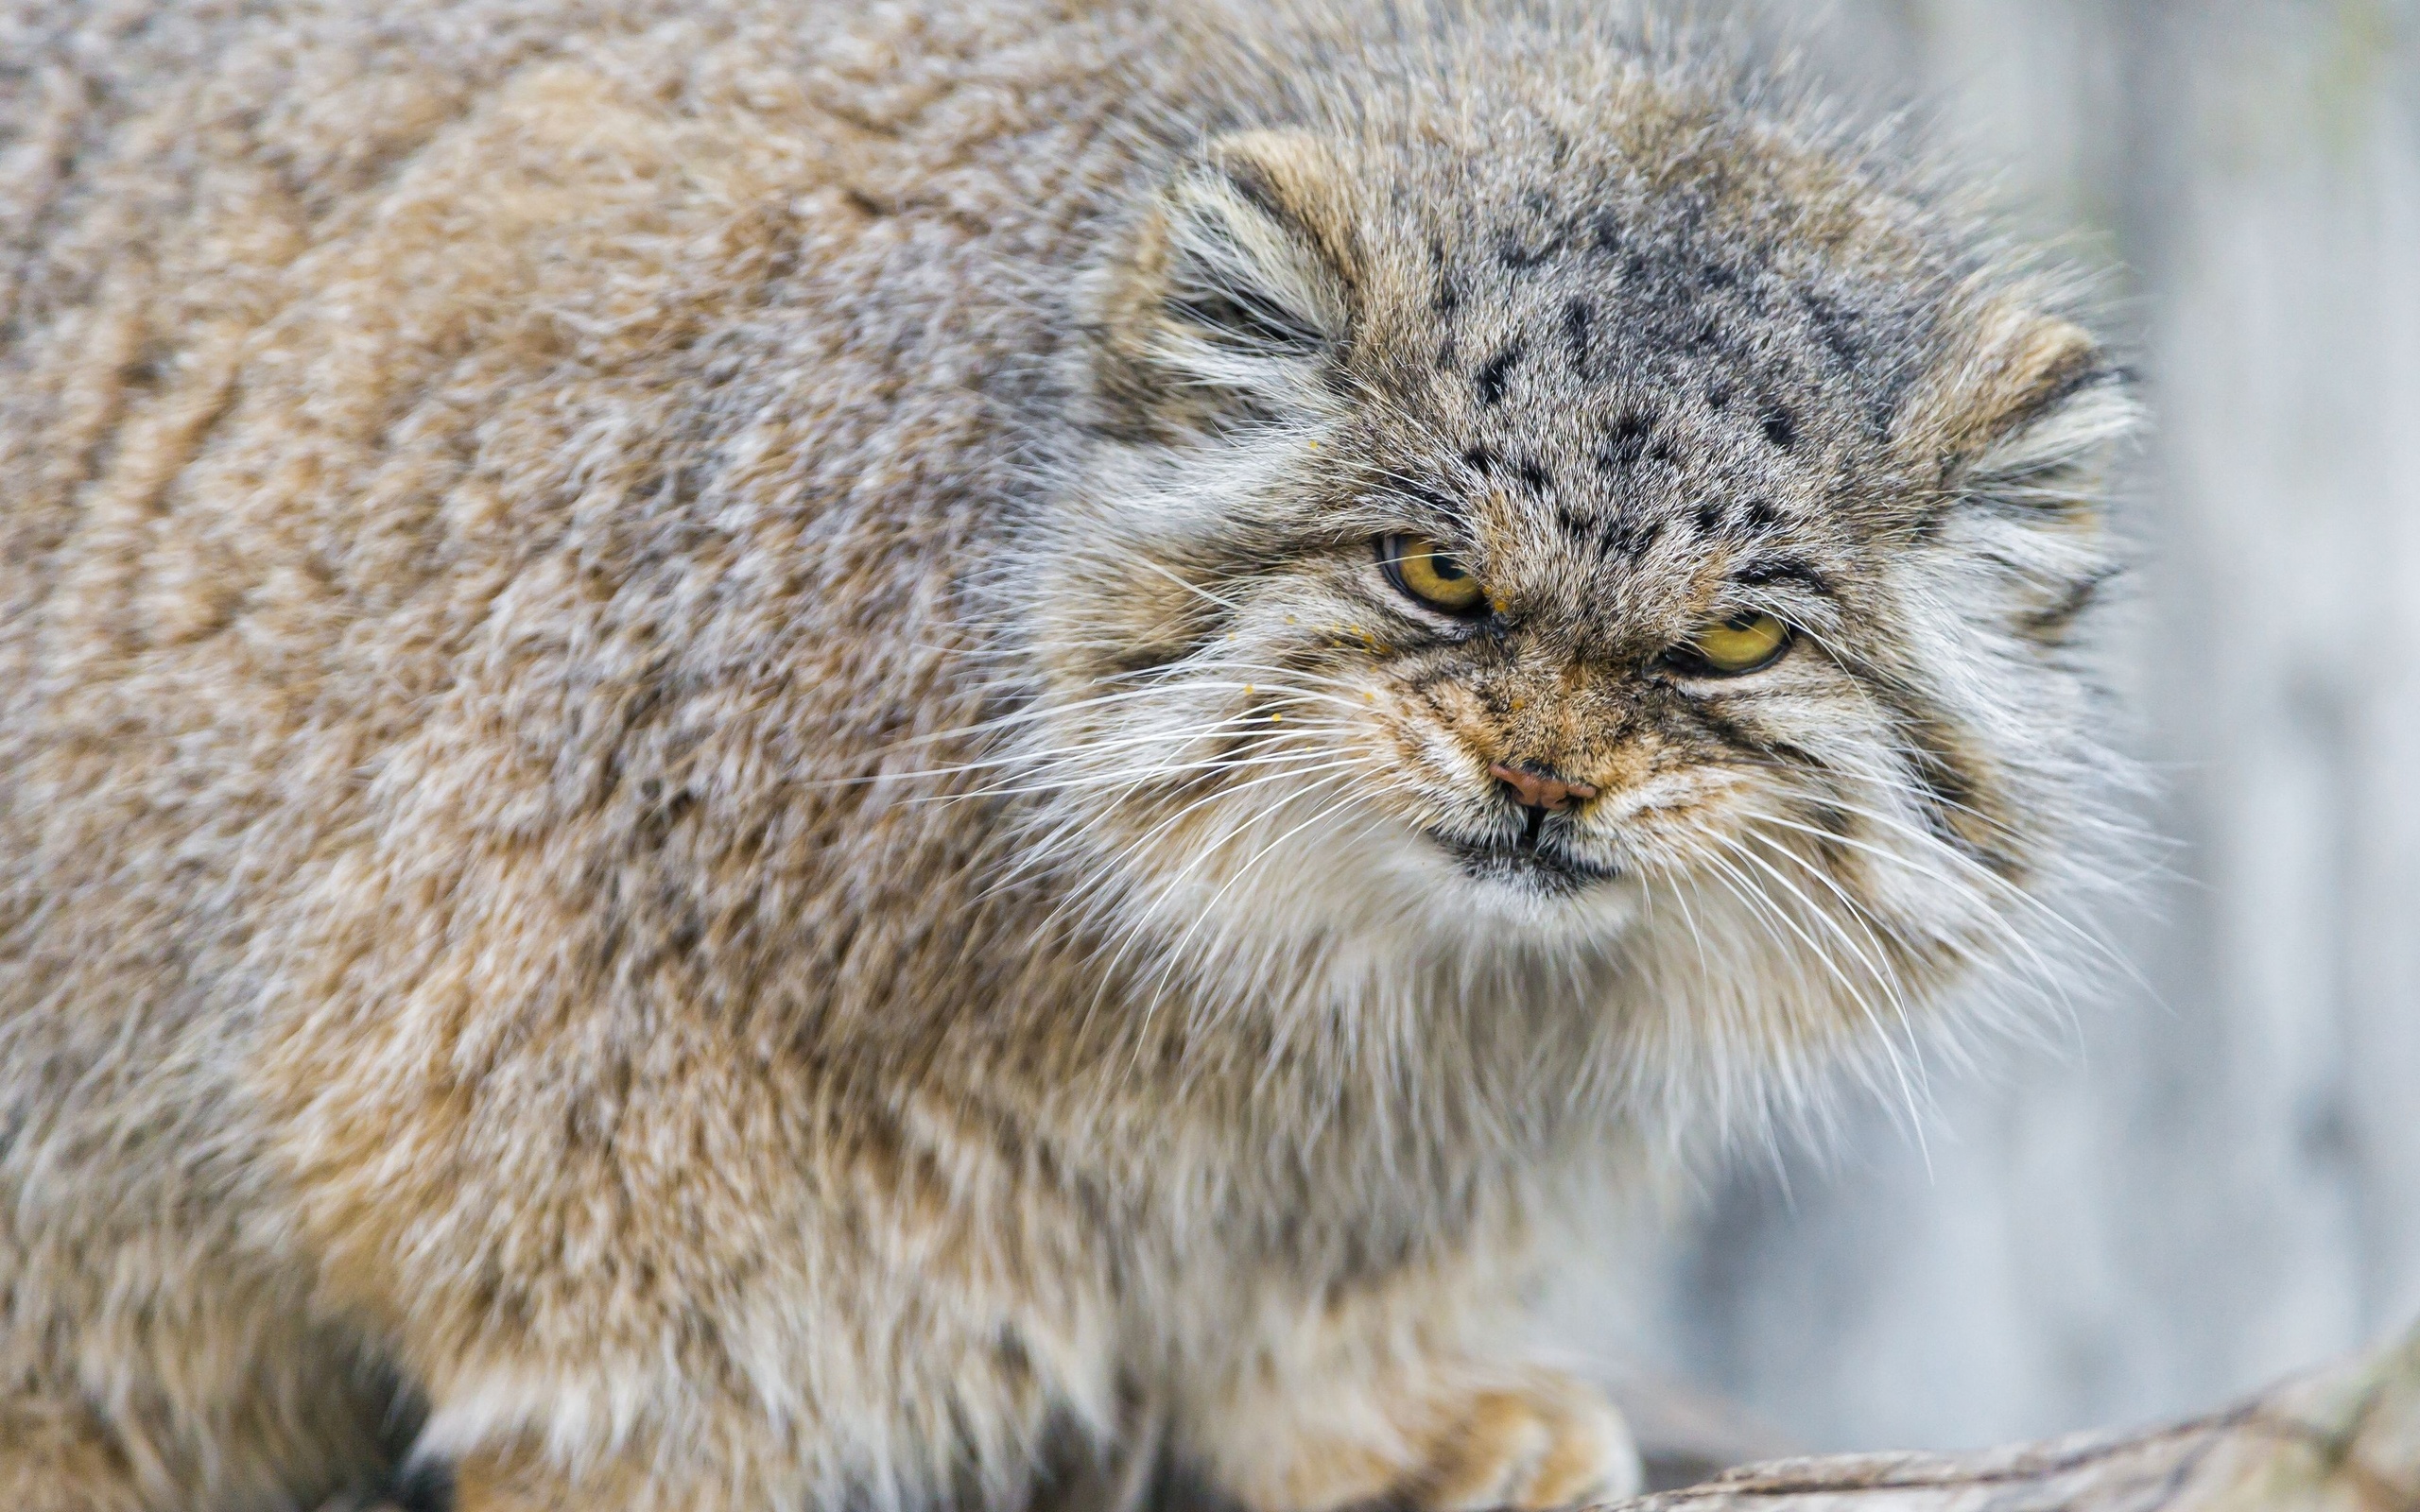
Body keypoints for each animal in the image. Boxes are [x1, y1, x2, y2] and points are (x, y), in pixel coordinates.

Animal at [0, 3, 2129, 1509]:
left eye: (1734, 639)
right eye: (1435, 572)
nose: (1538, 782)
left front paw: (1371, 1418)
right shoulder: (540, 1028)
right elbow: (652, 1365)